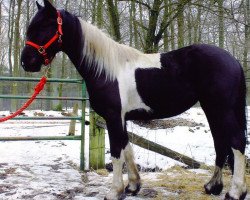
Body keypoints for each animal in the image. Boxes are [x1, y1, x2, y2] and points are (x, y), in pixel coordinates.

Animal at [21, 0, 248, 199]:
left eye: (44, 26)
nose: (26, 61)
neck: (106, 70)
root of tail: (233, 61)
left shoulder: (113, 116)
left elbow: (116, 152)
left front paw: (114, 192)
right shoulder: (121, 118)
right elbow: (127, 148)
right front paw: (132, 186)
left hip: (222, 109)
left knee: (236, 142)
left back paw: (235, 192)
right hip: (212, 109)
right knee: (220, 143)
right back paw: (213, 187)